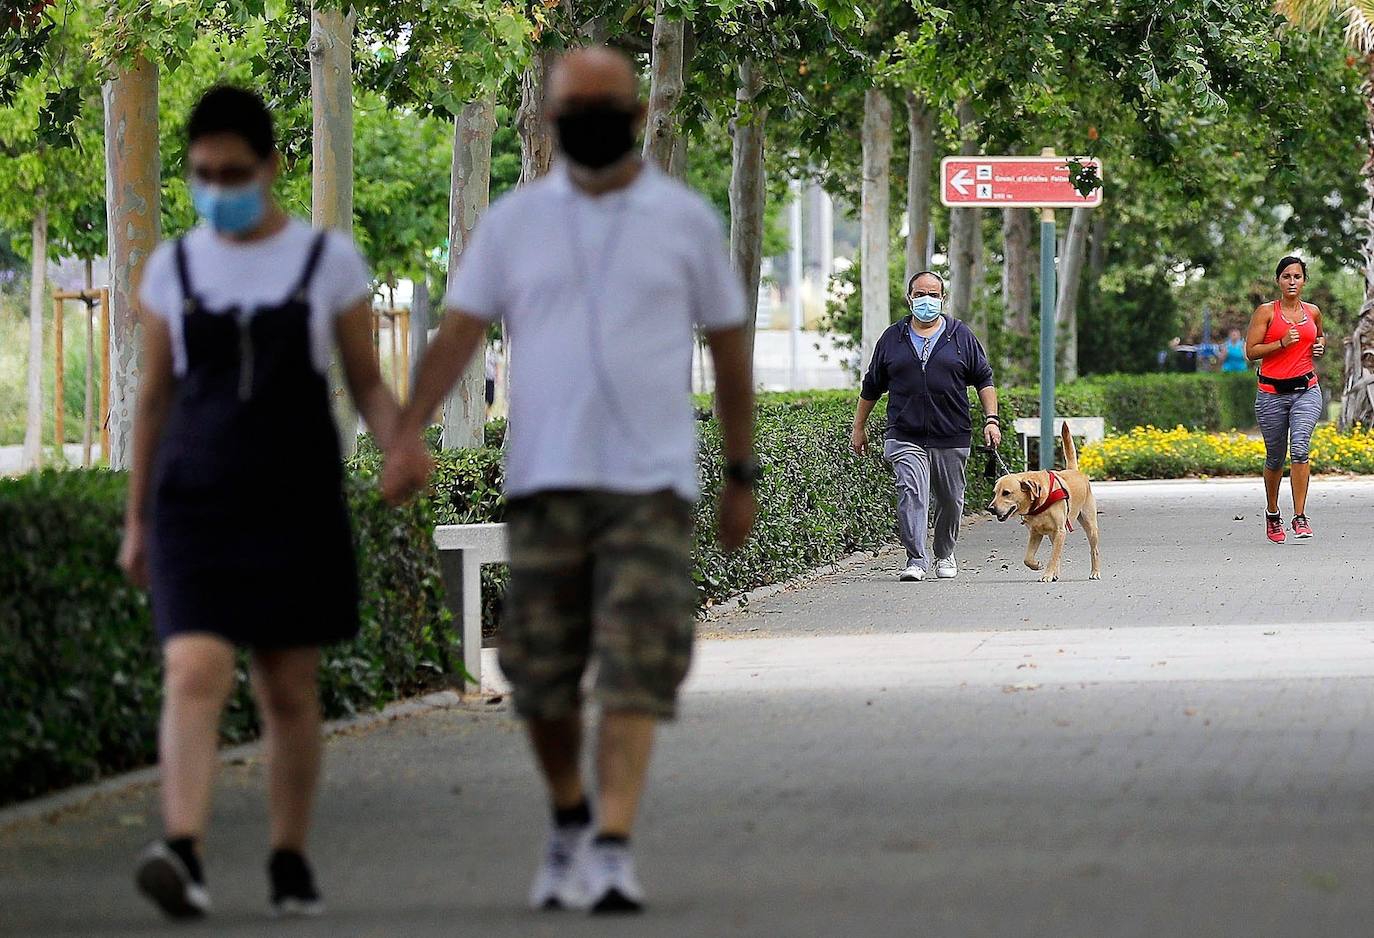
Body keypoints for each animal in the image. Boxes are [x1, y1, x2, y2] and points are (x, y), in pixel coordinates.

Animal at [989, 422, 1104, 579]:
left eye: (1006, 493)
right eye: (995, 493)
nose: (990, 509)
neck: (1039, 502)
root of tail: (1074, 471)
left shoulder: (1060, 531)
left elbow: (1053, 556)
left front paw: (1047, 575)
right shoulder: (1035, 533)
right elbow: (1028, 558)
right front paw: (1037, 565)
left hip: (1090, 526)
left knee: (1094, 550)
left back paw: (1095, 572)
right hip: (1053, 534)